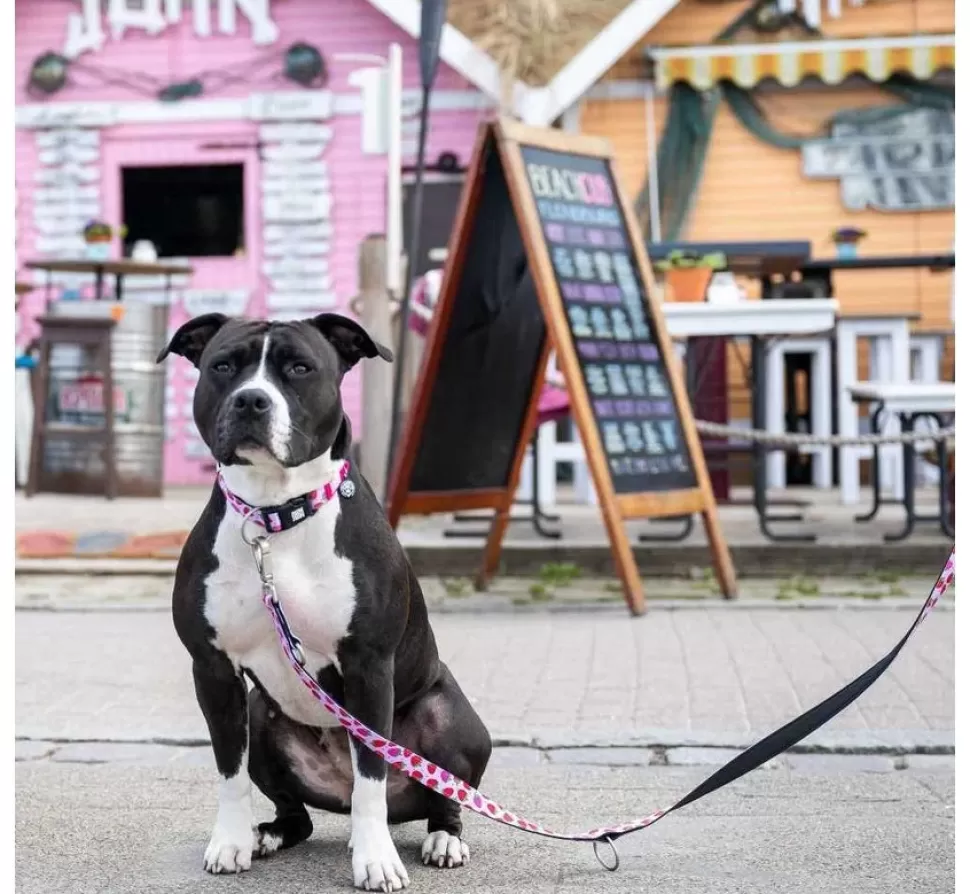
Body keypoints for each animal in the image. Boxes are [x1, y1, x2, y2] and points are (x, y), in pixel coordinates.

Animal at [161, 312, 492, 892]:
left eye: (299, 368)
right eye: (223, 366)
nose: (251, 400)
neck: (275, 515)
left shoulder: (368, 667)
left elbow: (371, 777)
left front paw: (377, 860)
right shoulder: (214, 670)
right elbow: (228, 769)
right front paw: (230, 842)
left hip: (449, 717)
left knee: (442, 796)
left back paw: (442, 839)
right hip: (262, 716)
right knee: (300, 813)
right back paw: (268, 834)